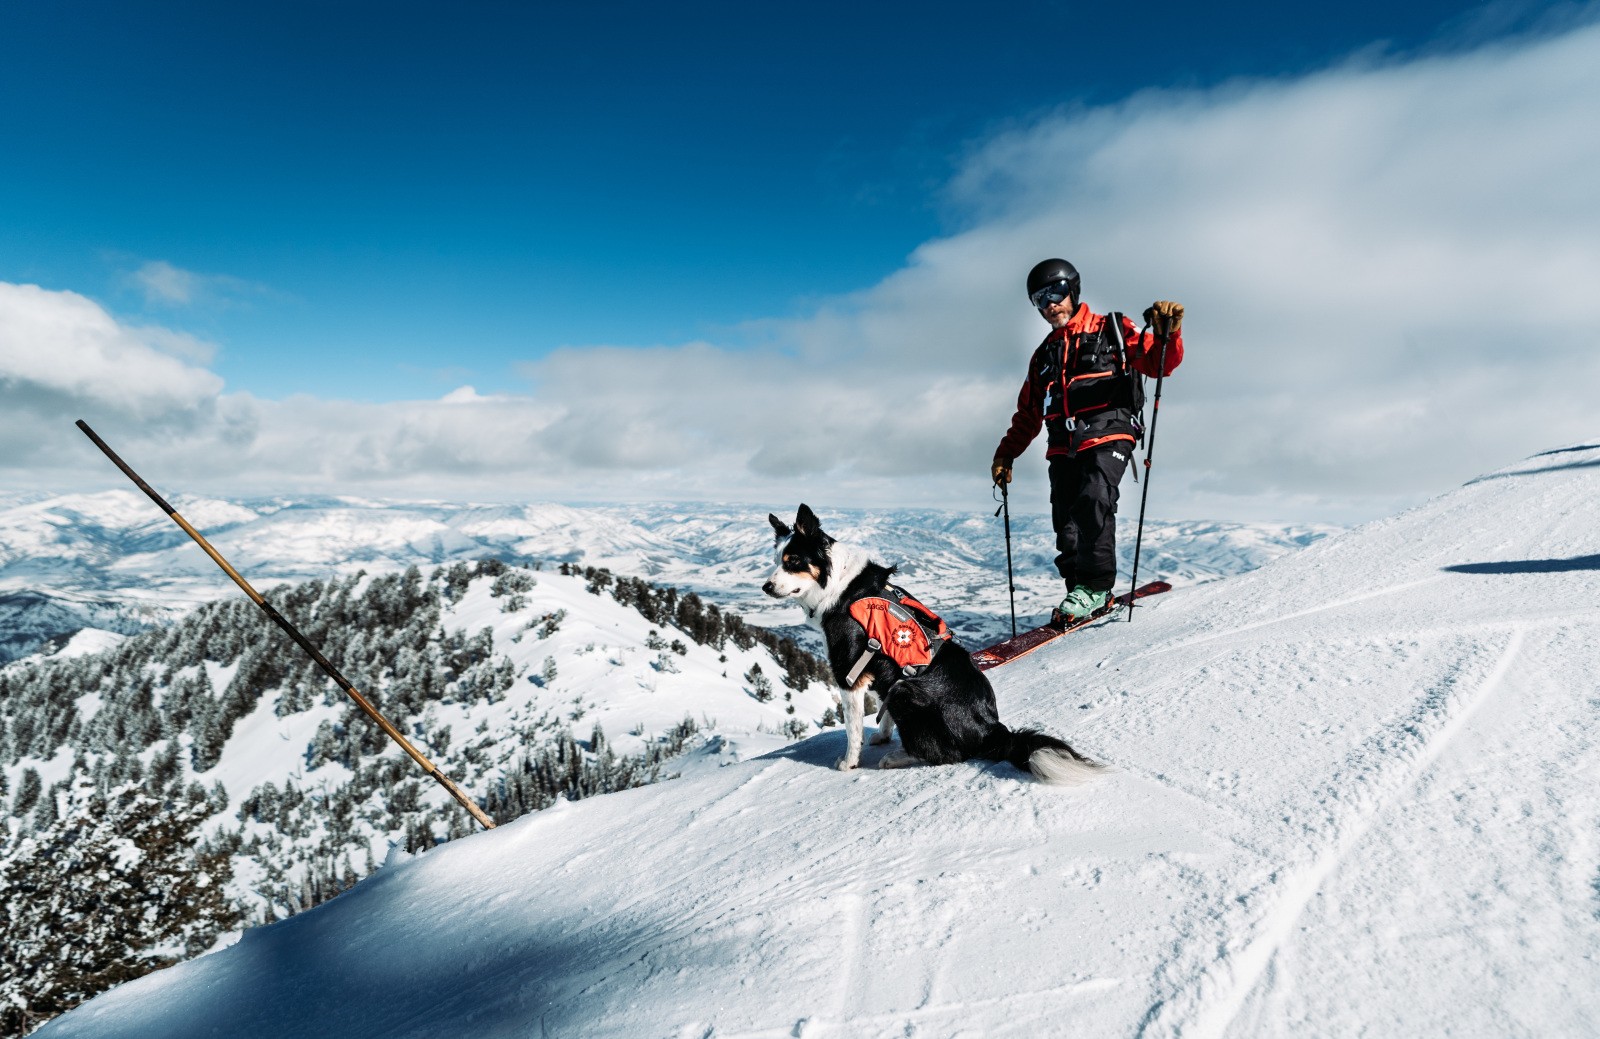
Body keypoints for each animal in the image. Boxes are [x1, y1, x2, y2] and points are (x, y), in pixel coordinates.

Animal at [761, 505, 1100, 781]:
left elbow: (852, 728)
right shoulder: (881, 668)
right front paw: (883, 735)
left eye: (793, 561)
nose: (766, 587)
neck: (840, 588)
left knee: (946, 755)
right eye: (777, 560)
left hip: (905, 691)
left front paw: (848, 763)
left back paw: (897, 757)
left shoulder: (849, 672)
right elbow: (882, 711)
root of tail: (991, 731)